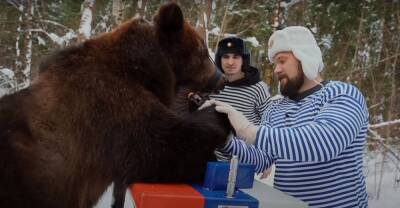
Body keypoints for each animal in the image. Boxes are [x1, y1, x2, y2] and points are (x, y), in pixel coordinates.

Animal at [0, 2, 230, 208]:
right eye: (203, 51)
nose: (222, 79)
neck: (144, 71)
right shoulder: (112, 112)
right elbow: (167, 144)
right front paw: (217, 118)